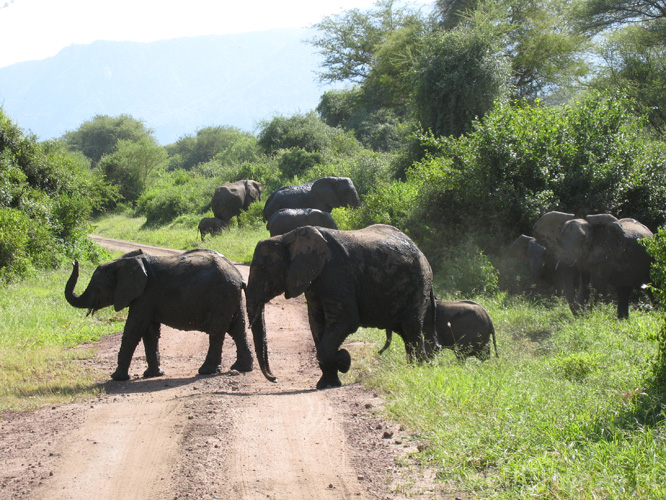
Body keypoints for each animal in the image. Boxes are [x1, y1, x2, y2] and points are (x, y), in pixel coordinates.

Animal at [63, 248, 253, 380]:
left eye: (97, 287)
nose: (74, 262)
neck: (121, 263)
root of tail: (239, 276)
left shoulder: (146, 295)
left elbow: (134, 329)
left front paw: (117, 378)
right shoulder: (147, 298)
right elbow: (150, 332)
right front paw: (153, 374)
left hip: (220, 295)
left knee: (217, 332)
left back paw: (206, 371)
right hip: (231, 297)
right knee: (237, 329)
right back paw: (241, 368)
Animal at [244, 224, 436, 390]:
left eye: (262, 269)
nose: (275, 378)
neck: (287, 237)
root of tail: (419, 250)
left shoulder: (336, 274)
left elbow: (346, 321)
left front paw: (344, 360)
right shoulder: (314, 282)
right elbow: (316, 323)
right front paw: (327, 383)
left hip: (419, 282)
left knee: (411, 327)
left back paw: (418, 369)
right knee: (404, 331)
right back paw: (414, 367)